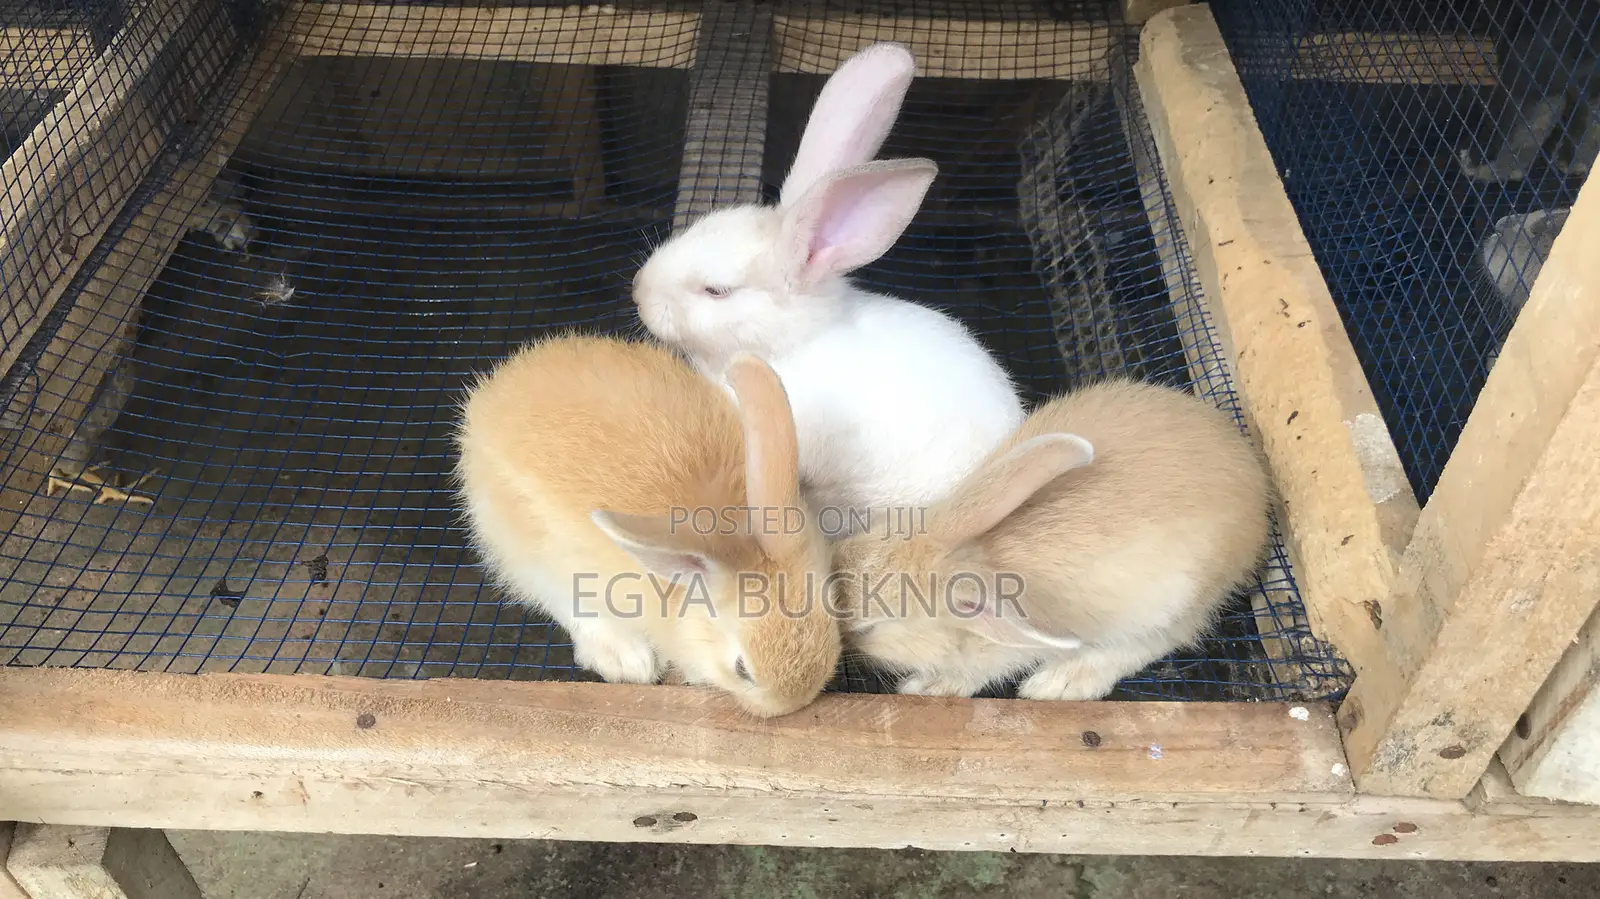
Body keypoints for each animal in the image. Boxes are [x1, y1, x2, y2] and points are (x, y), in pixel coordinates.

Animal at [453, 333, 841, 718]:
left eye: (832, 614)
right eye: (741, 668)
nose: (794, 702)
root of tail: (496, 389)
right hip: (528, 552)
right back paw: (629, 660)